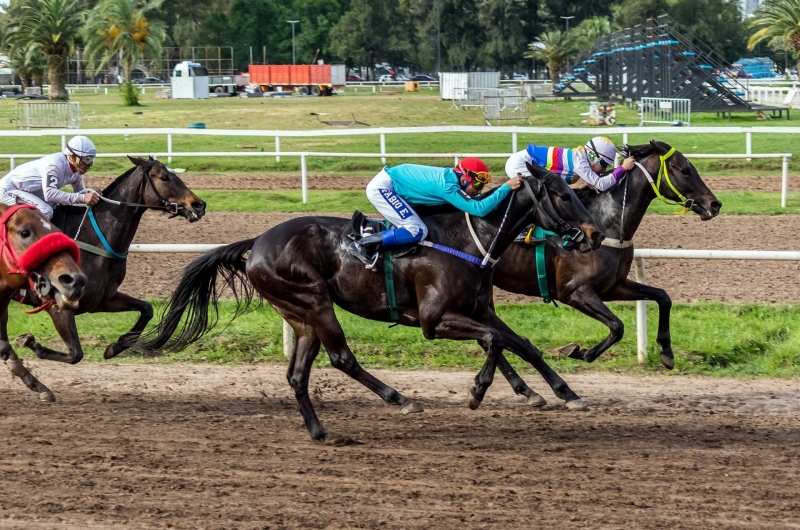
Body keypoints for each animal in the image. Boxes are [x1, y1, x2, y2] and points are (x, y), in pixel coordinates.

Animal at [15, 156, 206, 364]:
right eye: (164, 177)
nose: (199, 205)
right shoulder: (57, 306)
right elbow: (75, 354)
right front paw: (29, 342)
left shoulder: (102, 300)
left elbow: (147, 309)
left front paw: (116, 347)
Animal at [141, 166, 604, 442]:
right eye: (563, 195)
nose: (595, 234)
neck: (470, 237)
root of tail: (255, 243)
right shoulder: (434, 320)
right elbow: (494, 340)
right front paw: (476, 391)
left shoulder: (479, 309)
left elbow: (520, 343)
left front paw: (565, 393)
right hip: (313, 301)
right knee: (342, 358)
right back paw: (399, 399)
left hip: (301, 315)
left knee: (298, 375)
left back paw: (322, 433)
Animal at [490, 140, 720, 404]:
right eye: (684, 170)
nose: (715, 204)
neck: (605, 223)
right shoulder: (573, 291)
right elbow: (617, 326)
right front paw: (577, 351)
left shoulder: (612, 286)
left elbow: (663, 297)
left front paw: (667, 353)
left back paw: (526, 389)